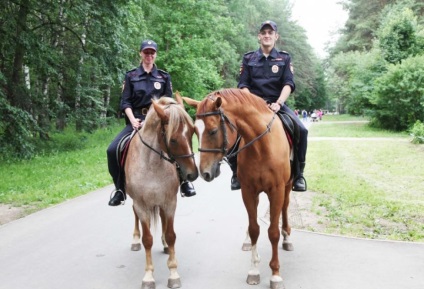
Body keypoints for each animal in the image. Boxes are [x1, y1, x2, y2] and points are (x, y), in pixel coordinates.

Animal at [125, 93, 198, 288]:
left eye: (192, 133)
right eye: (173, 139)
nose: (192, 174)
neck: (152, 164)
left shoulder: (170, 202)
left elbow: (171, 235)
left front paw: (173, 273)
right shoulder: (141, 205)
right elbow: (147, 239)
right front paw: (148, 276)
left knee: (163, 221)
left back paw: (164, 244)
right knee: (135, 216)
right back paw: (135, 240)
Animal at [182, 88, 294, 288]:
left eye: (213, 131)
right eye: (195, 131)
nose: (204, 173)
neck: (261, 146)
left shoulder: (277, 189)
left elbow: (272, 232)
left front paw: (275, 274)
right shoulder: (248, 191)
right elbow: (254, 228)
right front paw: (254, 270)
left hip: (287, 187)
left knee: (285, 208)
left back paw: (287, 237)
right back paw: (248, 241)